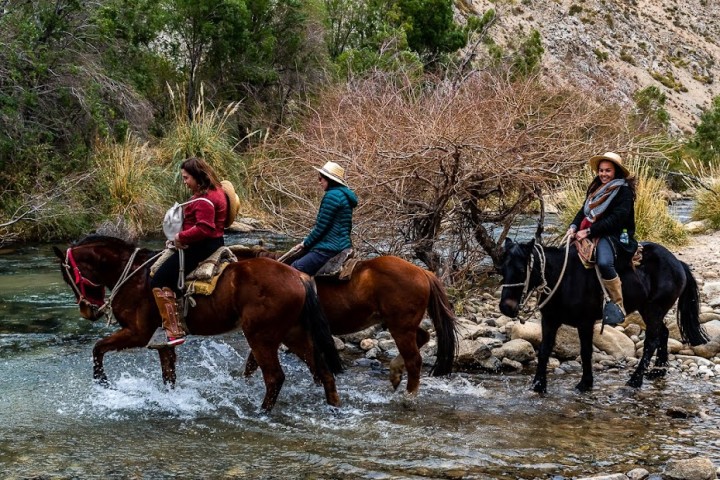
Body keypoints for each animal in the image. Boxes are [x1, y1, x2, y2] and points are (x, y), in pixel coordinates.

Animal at [52, 234, 344, 410]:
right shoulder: (163, 342)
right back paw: (334, 408)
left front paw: (102, 383)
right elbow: (168, 375)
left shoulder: (137, 332)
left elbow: (98, 348)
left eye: (68, 277)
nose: (87, 312)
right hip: (294, 334)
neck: (135, 276)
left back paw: (262, 413)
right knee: (322, 370)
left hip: (262, 336)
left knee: (275, 377)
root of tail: (299, 277)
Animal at [238, 249, 462, 396]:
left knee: (414, 360)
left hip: (401, 327)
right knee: (423, 337)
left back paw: (408, 397)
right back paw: (395, 374)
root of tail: (423, 272)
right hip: (402, 324)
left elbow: (255, 360)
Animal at [498, 239, 704, 394]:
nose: (506, 308)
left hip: (654, 309)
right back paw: (658, 371)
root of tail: (677, 263)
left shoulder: (585, 323)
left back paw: (635, 381)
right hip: (647, 309)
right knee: (663, 333)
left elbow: (586, 352)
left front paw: (585, 383)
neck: (563, 278)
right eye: (502, 270)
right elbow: (544, 351)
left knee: (651, 341)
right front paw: (538, 385)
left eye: (521, 270)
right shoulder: (549, 320)